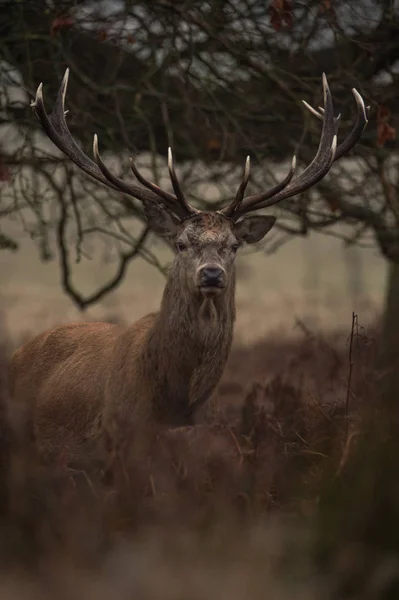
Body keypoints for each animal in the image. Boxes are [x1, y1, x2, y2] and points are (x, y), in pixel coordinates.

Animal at [7, 69, 368, 464]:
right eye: (180, 243)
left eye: (234, 245)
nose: (211, 274)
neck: (174, 402)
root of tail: (16, 355)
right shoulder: (115, 444)